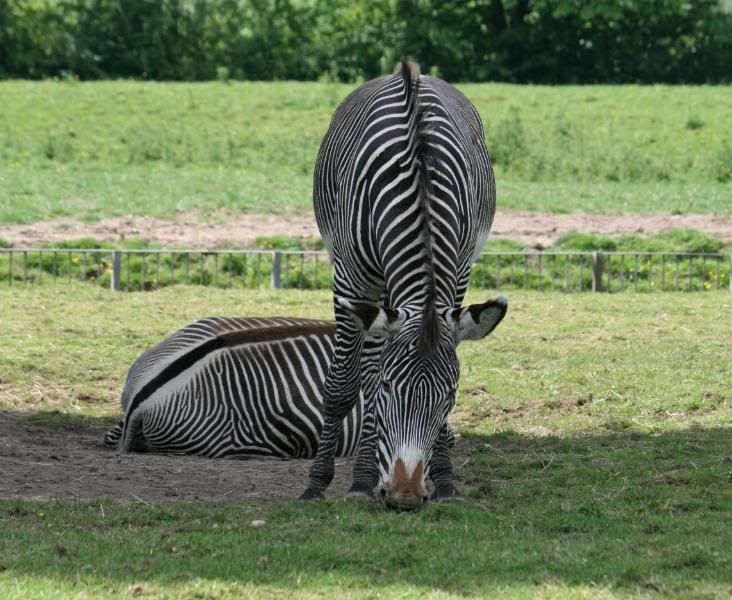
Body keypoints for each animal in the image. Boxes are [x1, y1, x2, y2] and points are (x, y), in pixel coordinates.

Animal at [300, 61, 506, 508]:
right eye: (389, 389)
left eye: (449, 396)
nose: (406, 496)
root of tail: (407, 71)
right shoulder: (351, 278)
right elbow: (344, 386)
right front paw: (321, 483)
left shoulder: (458, 274)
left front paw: (444, 480)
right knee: (364, 365)